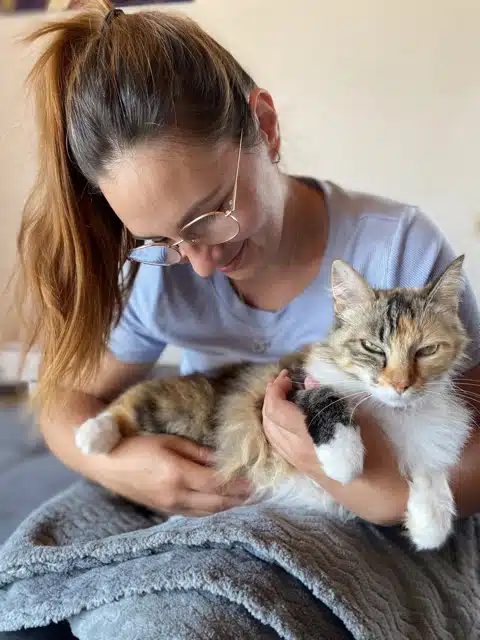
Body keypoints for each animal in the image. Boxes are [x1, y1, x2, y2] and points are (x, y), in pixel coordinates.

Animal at [75, 255, 473, 551]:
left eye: (426, 351)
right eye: (373, 347)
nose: (401, 385)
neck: (392, 415)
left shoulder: (426, 444)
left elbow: (431, 473)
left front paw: (431, 524)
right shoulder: (291, 385)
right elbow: (328, 399)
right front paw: (343, 459)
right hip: (176, 408)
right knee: (127, 402)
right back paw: (92, 436)